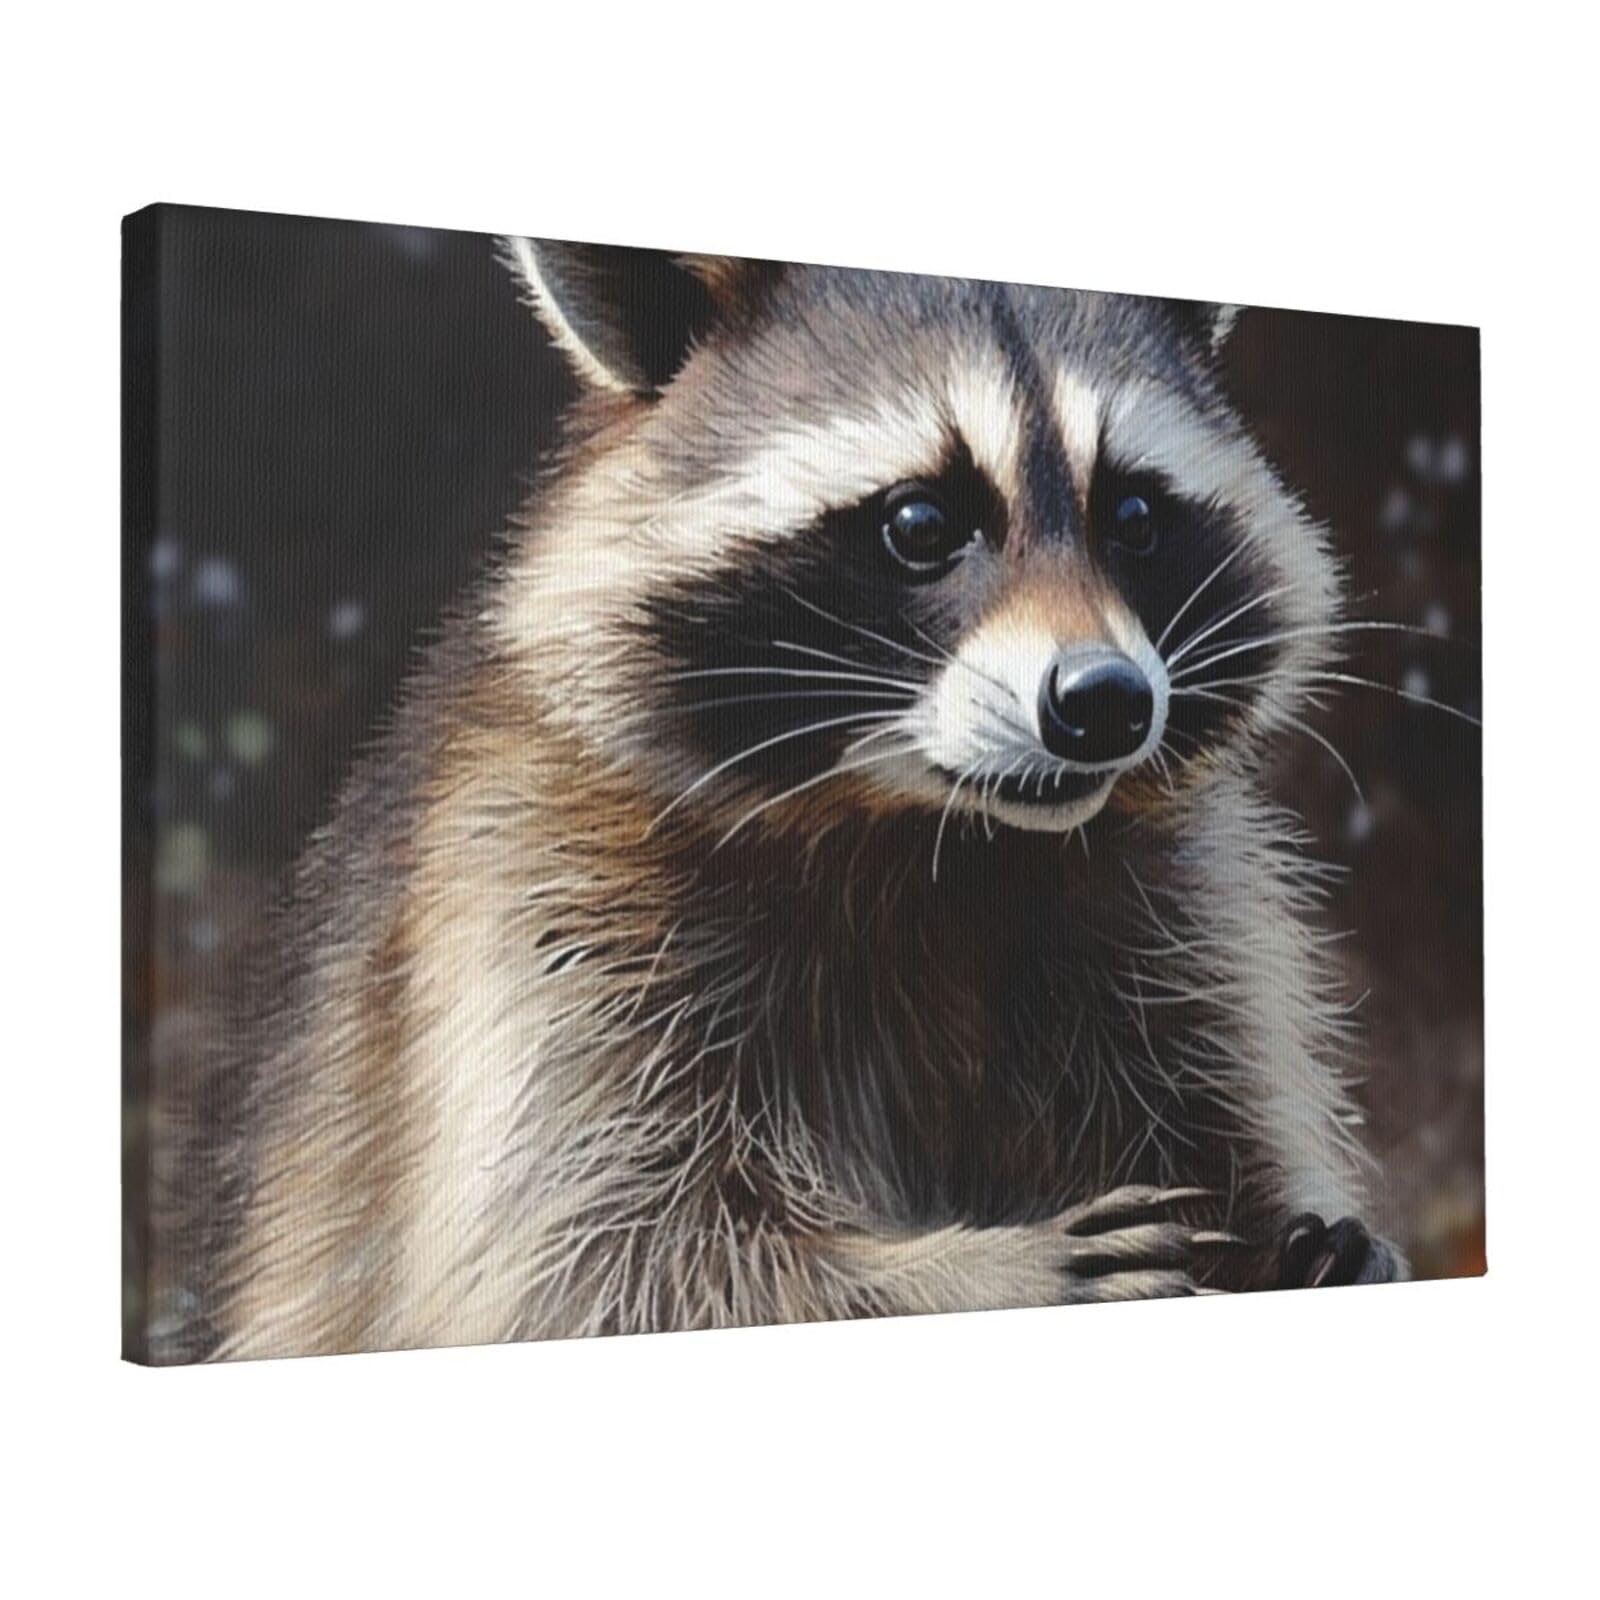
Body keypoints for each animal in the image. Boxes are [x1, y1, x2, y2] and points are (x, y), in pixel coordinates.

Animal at [163, 241, 1407, 1362]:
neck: (933, 834)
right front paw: (973, 1271)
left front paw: (1307, 1243)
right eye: (920, 523)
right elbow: (594, 1257)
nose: (1104, 701)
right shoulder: (536, 900)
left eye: (1135, 518)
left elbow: (1223, 1118)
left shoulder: (1178, 914)